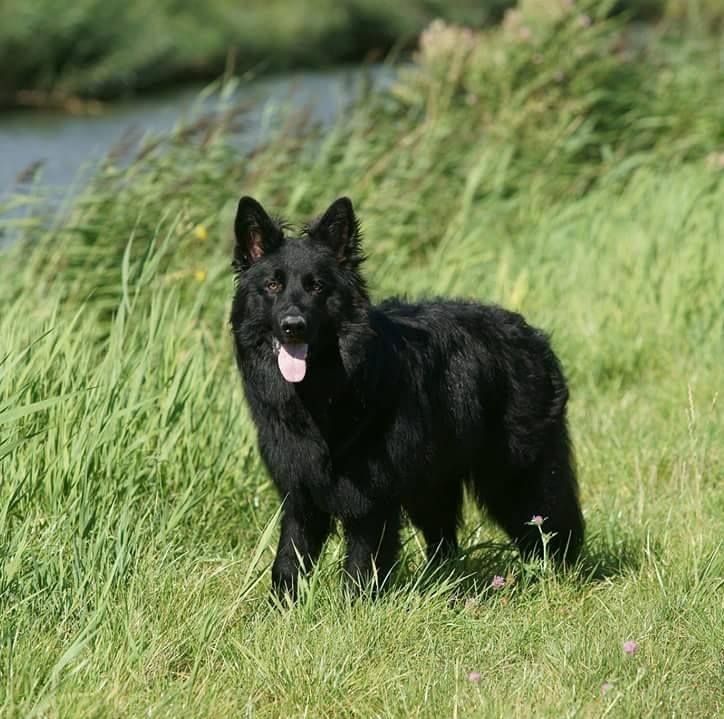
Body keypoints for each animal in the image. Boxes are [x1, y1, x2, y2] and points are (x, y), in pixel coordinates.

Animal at [230, 197, 584, 600]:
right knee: (444, 538)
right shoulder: (301, 493)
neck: (327, 395)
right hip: (433, 481)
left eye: (316, 287)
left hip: (516, 474)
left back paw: (560, 574)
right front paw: (282, 607)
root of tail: (531, 334)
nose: (293, 326)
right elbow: (288, 559)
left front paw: (350, 609)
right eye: (272, 285)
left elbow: (360, 565)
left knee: (551, 521)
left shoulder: (372, 501)